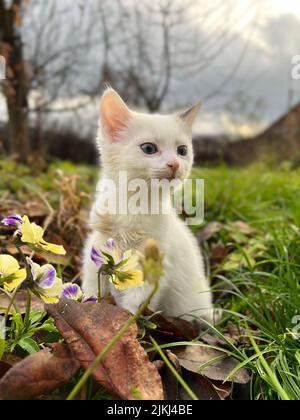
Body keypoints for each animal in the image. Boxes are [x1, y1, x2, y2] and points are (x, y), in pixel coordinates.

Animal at [82, 88, 216, 324]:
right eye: (148, 148)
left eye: (182, 150)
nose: (175, 164)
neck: (134, 203)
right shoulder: (97, 246)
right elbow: (92, 285)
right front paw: (88, 306)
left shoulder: (152, 264)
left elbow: (135, 301)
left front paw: (128, 323)